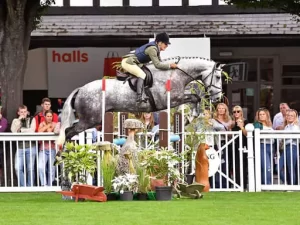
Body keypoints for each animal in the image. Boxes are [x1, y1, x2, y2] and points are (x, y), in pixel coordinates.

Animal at [56, 56, 225, 144]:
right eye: (217, 77)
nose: (217, 98)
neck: (175, 74)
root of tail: (80, 89)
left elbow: (195, 98)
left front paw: (190, 117)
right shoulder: (172, 99)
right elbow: (195, 97)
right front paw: (191, 116)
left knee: (69, 132)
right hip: (90, 119)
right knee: (68, 131)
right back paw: (63, 156)